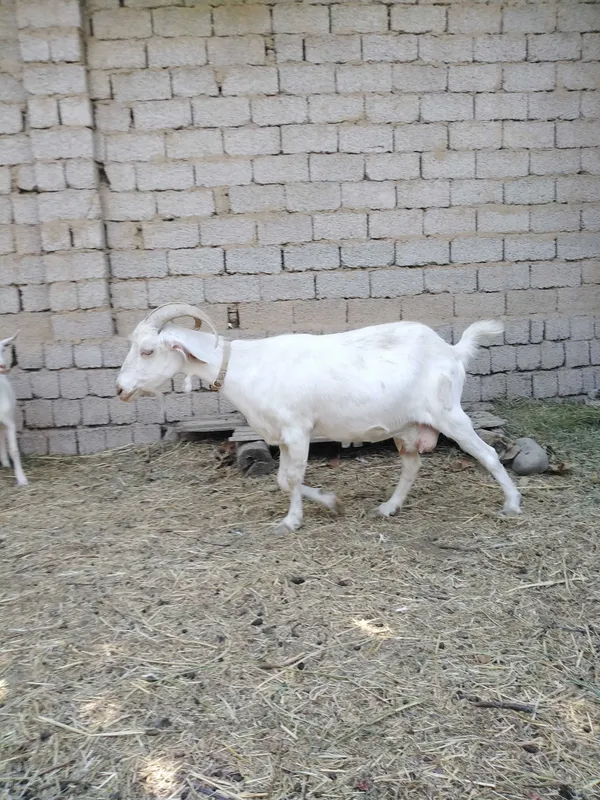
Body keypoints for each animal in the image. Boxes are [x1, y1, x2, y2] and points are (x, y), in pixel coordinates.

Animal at [116, 304, 521, 533]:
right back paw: (389, 508)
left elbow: (291, 479)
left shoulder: (297, 430)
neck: (244, 366)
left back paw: (512, 505)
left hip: (448, 413)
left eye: (148, 350)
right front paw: (331, 502)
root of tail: (452, 351)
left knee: (487, 454)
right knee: (411, 465)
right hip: (406, 427)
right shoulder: (282, 436)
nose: (120, 388)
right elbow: (283, 479)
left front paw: (291, 521)